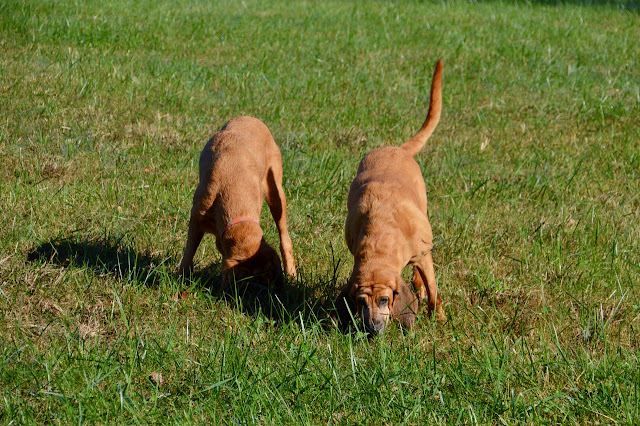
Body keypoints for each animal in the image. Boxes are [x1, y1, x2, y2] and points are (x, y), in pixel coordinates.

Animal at [178, 116, 296, 290]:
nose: (261, 292)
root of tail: (251, 118)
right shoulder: (196, 218)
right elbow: (189, 252)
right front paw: (181, 277)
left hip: (276, 193)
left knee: (284, 236)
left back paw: (292, 273)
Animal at [333, 59, 445, 335]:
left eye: (384, 299)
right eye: (361, 302)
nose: (373, 328)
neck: (381, 237)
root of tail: (398, 148)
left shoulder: (423, 255)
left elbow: (434, 290)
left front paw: (437, 318)